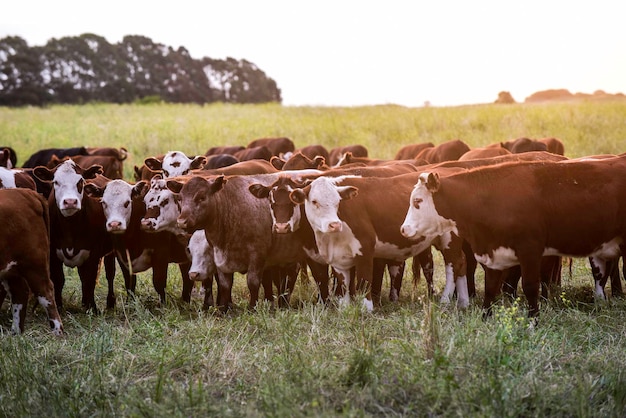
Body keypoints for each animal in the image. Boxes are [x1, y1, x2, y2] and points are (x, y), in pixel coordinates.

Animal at [0, 189, 64, 336]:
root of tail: (25, 192)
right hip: (11, 269)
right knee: (19, 293)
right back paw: (16, 333)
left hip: (34, 263)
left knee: (46, 292)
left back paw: (57, 331)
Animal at [398, 156, 624, 316]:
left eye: (417, 201)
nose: (404, 229)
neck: (493, 198)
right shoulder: (493, 253)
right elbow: (490, 289)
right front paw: (485, 320)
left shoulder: (530, 251)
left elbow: (530, 287)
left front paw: (533, 324)